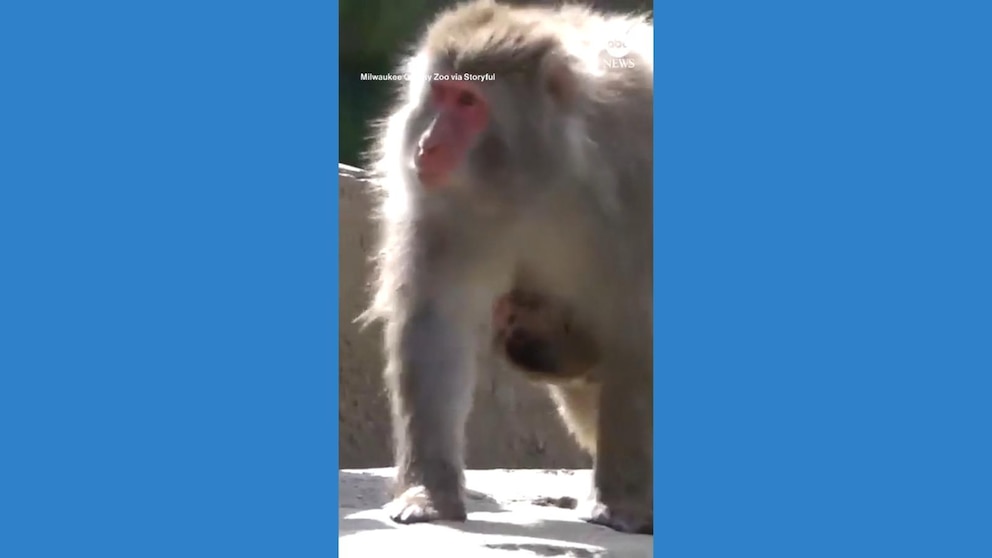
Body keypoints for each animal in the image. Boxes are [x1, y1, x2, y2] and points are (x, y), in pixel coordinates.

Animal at [360, 0, 656, 536]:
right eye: (440, 93)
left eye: (468, 101)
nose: (427, 146)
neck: (548, 176)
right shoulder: (445, 205)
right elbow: (437, 321)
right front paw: (429, 493)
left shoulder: (640, 178)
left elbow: (638, 327)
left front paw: (620, 503)